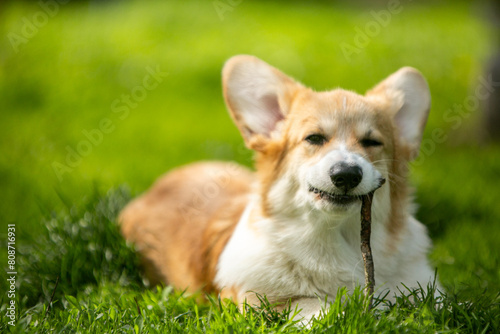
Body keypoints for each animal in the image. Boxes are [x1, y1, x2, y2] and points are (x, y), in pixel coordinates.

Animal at [120, 54, 438, 320]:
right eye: (314, 138)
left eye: (372, 142)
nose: (346, 175)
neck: (337, 239)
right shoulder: (251, 300)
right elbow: (314, 304)